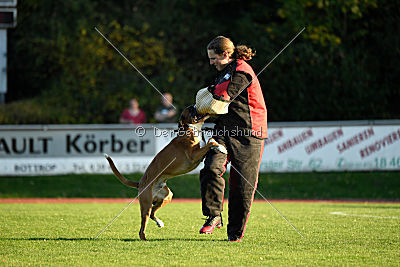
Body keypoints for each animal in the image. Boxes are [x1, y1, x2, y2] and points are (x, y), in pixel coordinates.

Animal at [104, 105, 227, 242]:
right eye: (190, 110)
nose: (194, 105)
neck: (190, 129)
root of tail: (140, 182)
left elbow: (210, 140)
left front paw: (219, 146)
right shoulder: (194, 156)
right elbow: (210, 142)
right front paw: (221, 147)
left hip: (167, 197)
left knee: (152, 213)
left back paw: (159, 223)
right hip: (146, 204)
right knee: (144, 223)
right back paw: (144, 238)